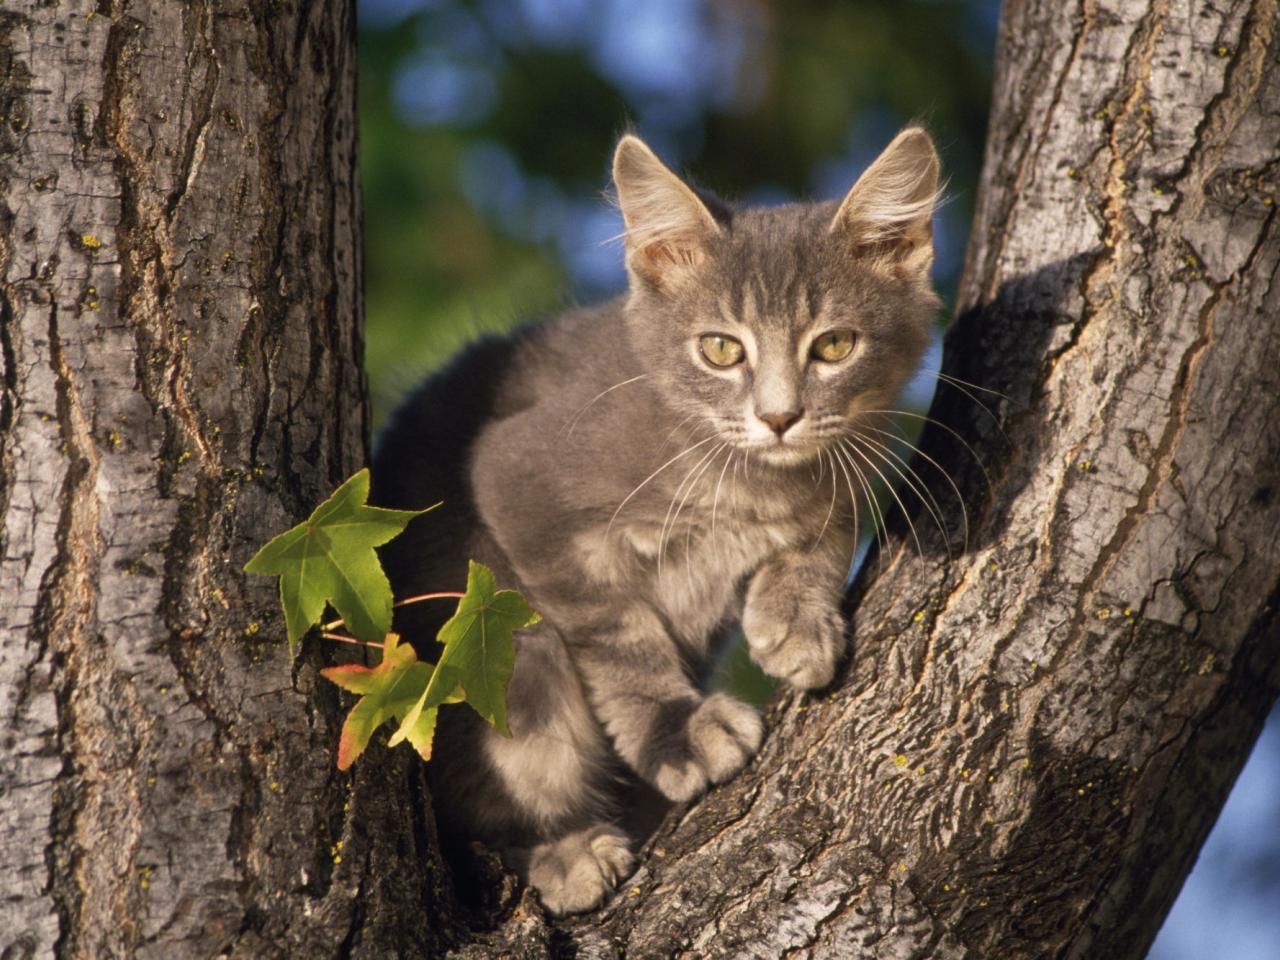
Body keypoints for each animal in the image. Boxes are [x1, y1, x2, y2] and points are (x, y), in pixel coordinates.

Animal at [371, 126, 942, 916]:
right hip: (483, 626)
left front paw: (795, 616)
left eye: (834, 346)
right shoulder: (517, 477)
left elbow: (825, 527)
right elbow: (618, 635)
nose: (779, 417)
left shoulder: (855, 460)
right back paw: (562, 850)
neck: (747, 478)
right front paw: (677, 730)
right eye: (721, 348)